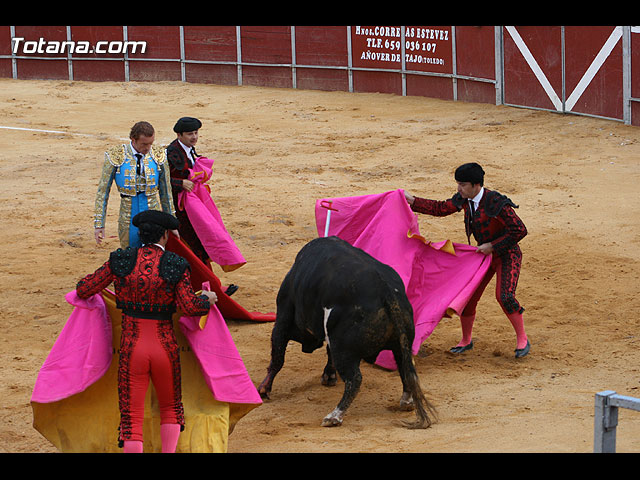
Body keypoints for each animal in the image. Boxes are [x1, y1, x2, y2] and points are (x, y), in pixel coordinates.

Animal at [258, 236, 438, 428]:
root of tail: (387, 291)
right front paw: (329, 376)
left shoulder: (283, 318)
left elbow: (277, 357)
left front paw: (263, 390)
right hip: (401, 343)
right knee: (405, 368)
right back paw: (406, 401)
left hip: (343, 349)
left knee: (355, 379)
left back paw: (334, 416)